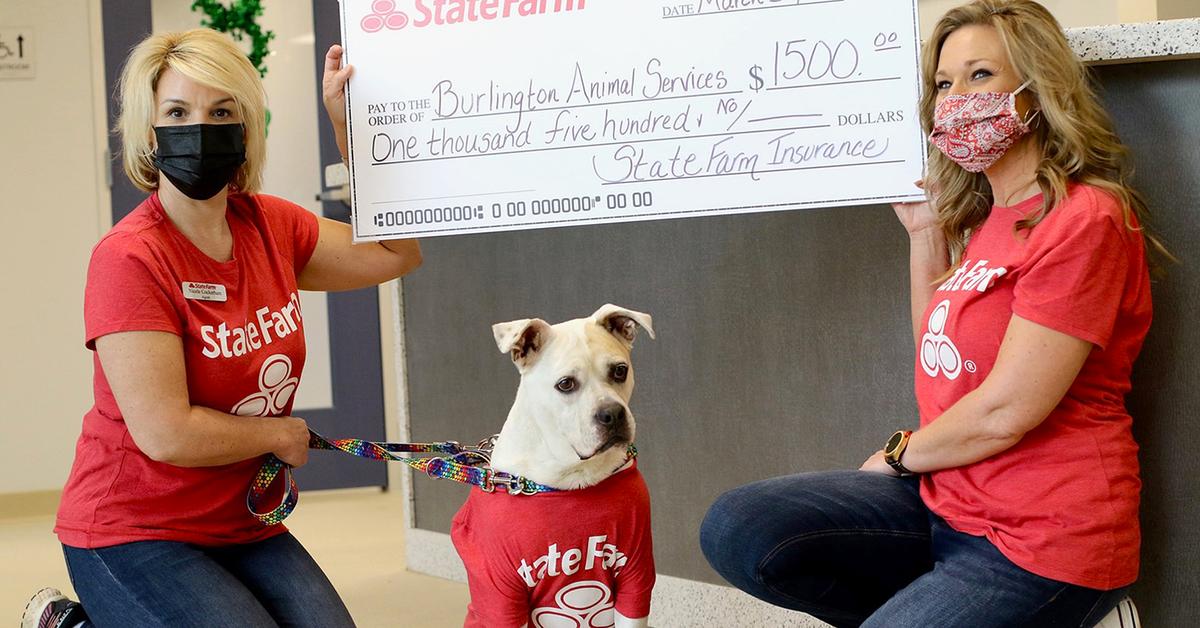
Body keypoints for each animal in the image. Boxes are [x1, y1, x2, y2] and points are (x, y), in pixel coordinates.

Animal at [451, 304, 657, 628]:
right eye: (566, 384)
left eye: (620, 370)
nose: (612, 413)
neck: (570, 477)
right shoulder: (502, 595)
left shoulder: (635, 575)